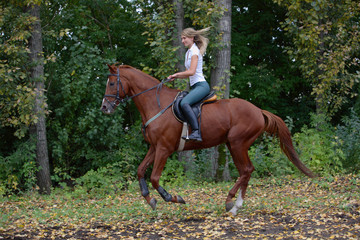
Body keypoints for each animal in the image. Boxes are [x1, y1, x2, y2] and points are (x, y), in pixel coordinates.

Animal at [101, 63, 316, 216]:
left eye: (111, 83)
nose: (104, 107)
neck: (156, 104)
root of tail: (258, 110)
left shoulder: (164, 148)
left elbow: (154, 177)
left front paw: (174, 198)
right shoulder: (154, 147)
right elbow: (140, 171)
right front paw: (150, 200)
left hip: (237, 143)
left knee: (246, 170)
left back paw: (230, 202)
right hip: (233, 144)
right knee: (246, 171)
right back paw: (236, 205)